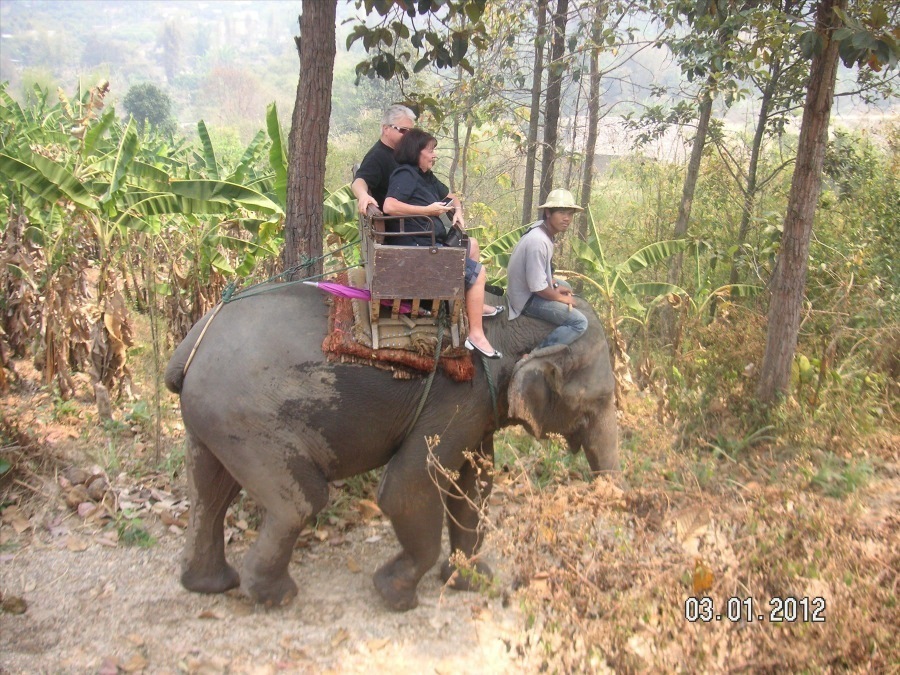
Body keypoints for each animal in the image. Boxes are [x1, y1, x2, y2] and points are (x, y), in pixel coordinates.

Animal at [163, 286, 620, 612]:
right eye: (598, 401)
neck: (508, 317)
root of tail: (193, 342)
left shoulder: (479, 407)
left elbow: (474, 488)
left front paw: (473, 582)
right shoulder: (457, 399)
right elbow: (409, 487)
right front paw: (395, 596)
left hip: (215, 418)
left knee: (210, 494)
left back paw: (210, 585)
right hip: (247, 418)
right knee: (299, 501)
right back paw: (276, 597)